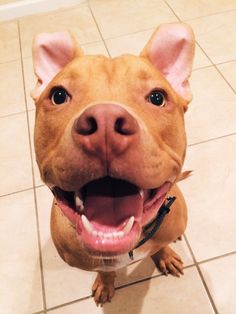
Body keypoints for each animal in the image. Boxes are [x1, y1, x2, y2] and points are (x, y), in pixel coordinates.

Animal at [30, 22, 194, 306]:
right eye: (59, 95)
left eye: (157, 97)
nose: (105, 123)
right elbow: (104, 271)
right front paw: (106, 283)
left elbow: (161, 244)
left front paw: (164, 255)